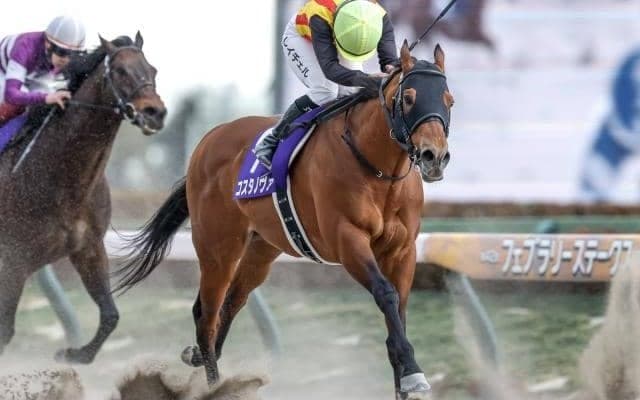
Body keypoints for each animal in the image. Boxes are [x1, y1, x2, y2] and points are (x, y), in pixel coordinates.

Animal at [0, 33, 166, 364]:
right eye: (120, 71)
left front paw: (73, 353)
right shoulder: (14, 258)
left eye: (152, 70)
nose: (155, 113)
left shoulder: (88, 248)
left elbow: (110, 315)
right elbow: (5, 331)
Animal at [115, 41, 452, 399]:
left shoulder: (403, 250)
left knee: (229, 305)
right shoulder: (347, 240)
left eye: (449, 100)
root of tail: (207, 142)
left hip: (260, 250)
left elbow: (398, 312)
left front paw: (405, 376)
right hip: (218, 249)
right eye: (409, 98)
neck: (378, 170)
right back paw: (215, 385)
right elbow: (386, 294)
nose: (434, 156)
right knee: (206, 317)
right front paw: (414, 371)